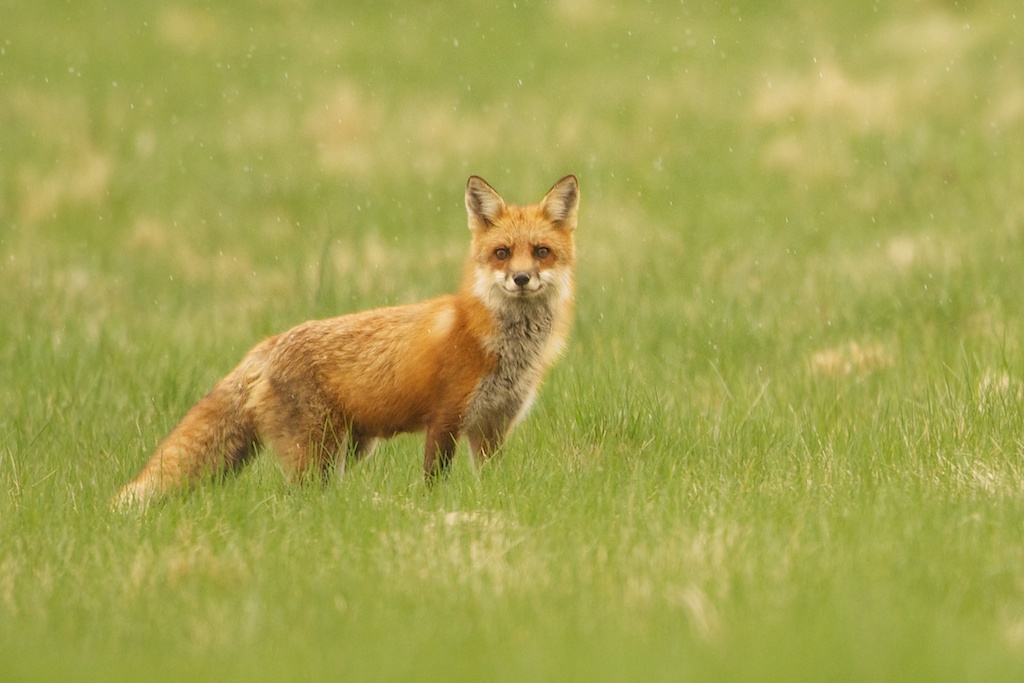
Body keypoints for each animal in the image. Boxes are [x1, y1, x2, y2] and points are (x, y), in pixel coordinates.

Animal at [114, 174, 579, 507]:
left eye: (541, 251)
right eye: (502, 253)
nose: (522, 279)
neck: (502, 345)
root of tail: (265, 345)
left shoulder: (493, 426)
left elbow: (491, 482)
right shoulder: (445, 418)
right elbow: (433, 484)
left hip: (348, 449)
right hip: (316, 453)